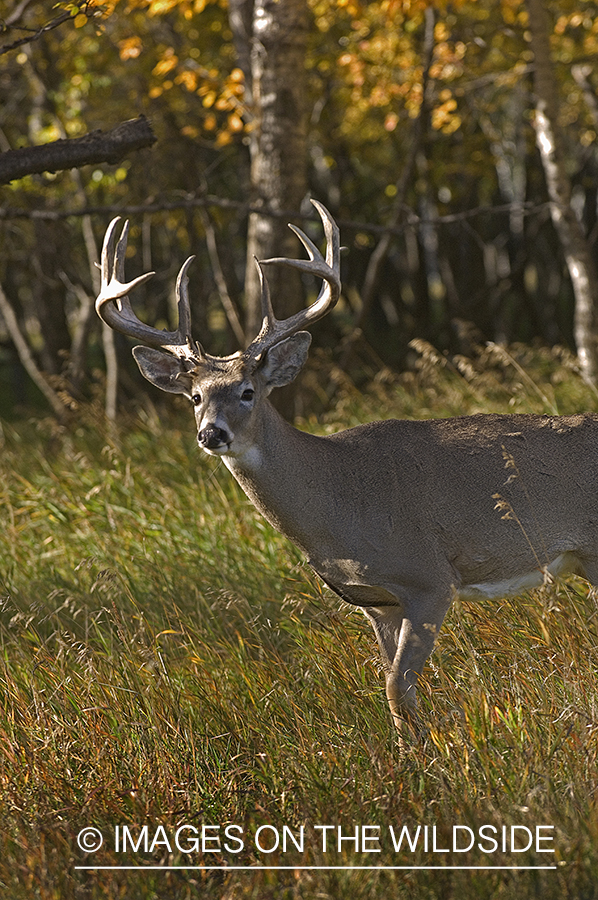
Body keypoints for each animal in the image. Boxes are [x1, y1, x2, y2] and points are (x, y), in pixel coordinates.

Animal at [96, 204, 598, 740]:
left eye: (248, 392)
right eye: (195, 397)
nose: (212, 434)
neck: (339, 503)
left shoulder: (429, 577)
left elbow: (396, 686)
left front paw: (431, 756)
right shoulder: (376, 602)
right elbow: (394, 689)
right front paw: (409, 752)